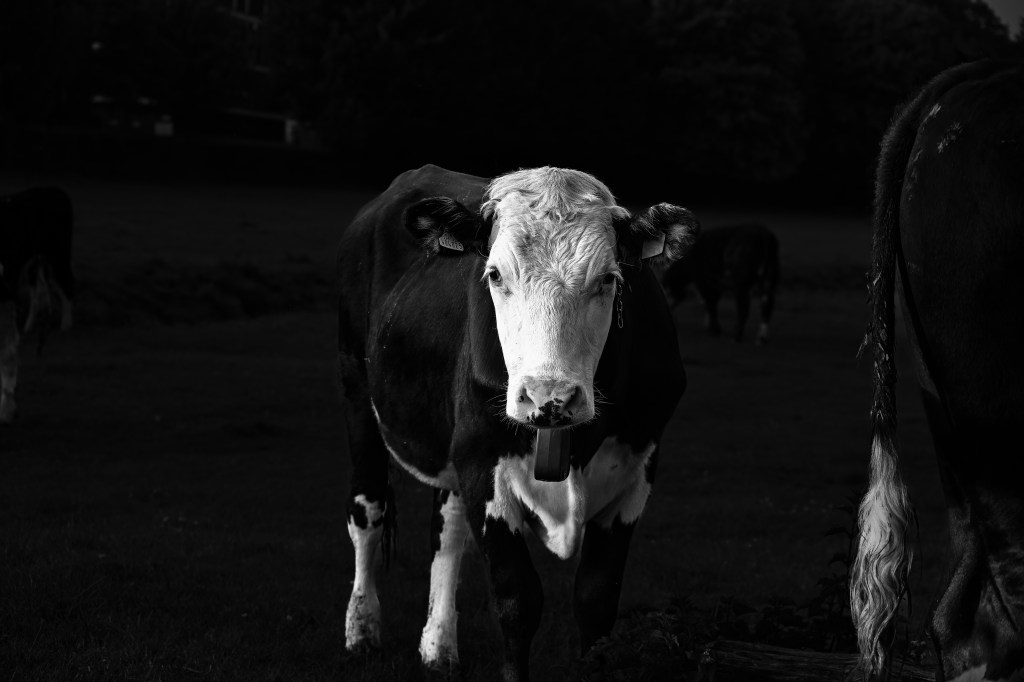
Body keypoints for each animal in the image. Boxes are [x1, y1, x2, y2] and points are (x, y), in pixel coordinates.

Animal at [0, 186, 75, 423]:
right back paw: (29, 326)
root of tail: (55, 190)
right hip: (35, 262)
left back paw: (66, 324)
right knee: (38, 289)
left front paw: (7, 408)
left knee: (67, 284)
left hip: (59, 253)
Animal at [336, 164, 699, 679]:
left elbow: (596, 601)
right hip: (357, 394)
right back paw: (363, 631)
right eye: (495, 274)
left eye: (609, 279)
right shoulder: (482, 465)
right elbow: (518, 601)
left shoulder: (638, 469)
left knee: (447, 530)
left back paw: (438, 646)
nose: (550, 397)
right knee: (367, 509)